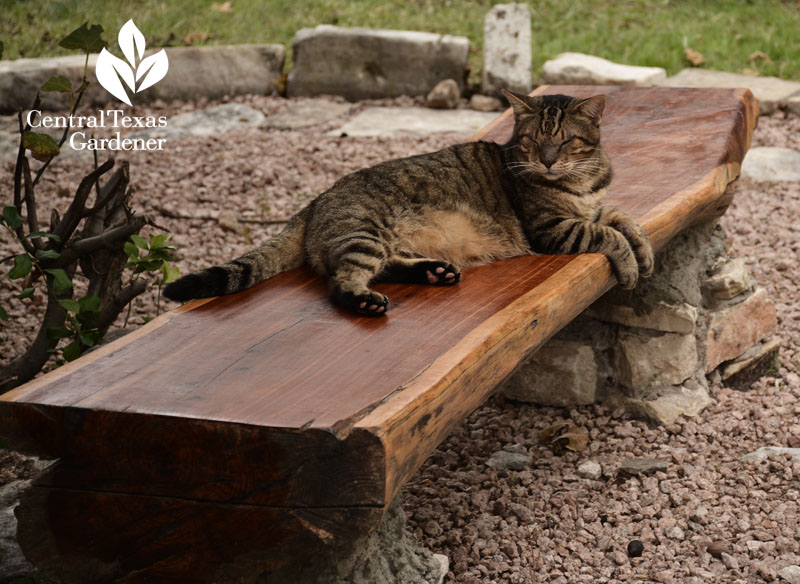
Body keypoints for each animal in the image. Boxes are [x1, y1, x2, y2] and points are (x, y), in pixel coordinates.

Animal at [166, 90, 652, 314]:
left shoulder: (595, 207)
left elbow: (625, 218)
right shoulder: (553, 228)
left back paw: (434, 272)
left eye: (566, 141)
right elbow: (607, 234)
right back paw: (366, 301)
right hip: (365, 233)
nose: (548, 161)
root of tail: (315, 200)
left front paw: (644, 251)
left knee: (387, 265)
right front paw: (630, 265)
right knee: (341, 280)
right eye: (533, 141)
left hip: (385, 242)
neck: (582, 182)